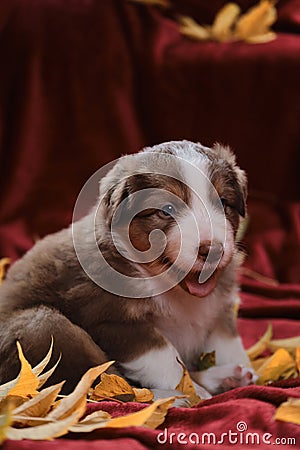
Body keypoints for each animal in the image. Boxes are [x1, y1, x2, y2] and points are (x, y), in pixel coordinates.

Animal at [0, 142, 255, 400]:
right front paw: (192, 393)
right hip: (43, 326)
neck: (171, 287)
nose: (213, 250)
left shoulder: (220, 305)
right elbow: (165, 358)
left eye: (223, 202)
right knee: (100, 386)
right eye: (166, 210)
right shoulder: (116, 321)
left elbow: (226, 341)